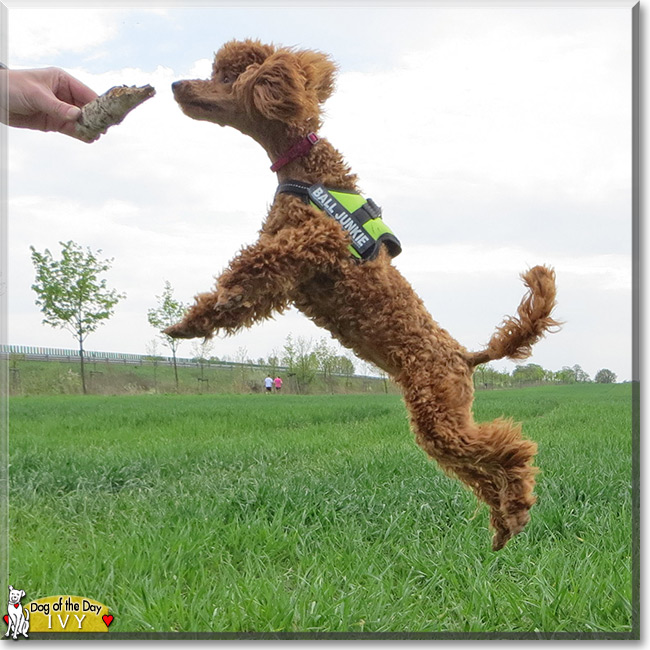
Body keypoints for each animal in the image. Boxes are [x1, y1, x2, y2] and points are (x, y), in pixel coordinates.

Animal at [167, 38, 556, 548]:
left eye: (227, 76)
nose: (176, 84)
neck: (312, 170)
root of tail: (466, 356)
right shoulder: (293, 274)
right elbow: (255, 285)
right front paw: (199, 319)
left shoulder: (316, 241)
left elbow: (252, 268)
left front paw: (205, 311)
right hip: (445, 421)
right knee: (483, 470)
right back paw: (504, 525)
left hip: (438, 413)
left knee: (511, 451)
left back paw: (517, 512)